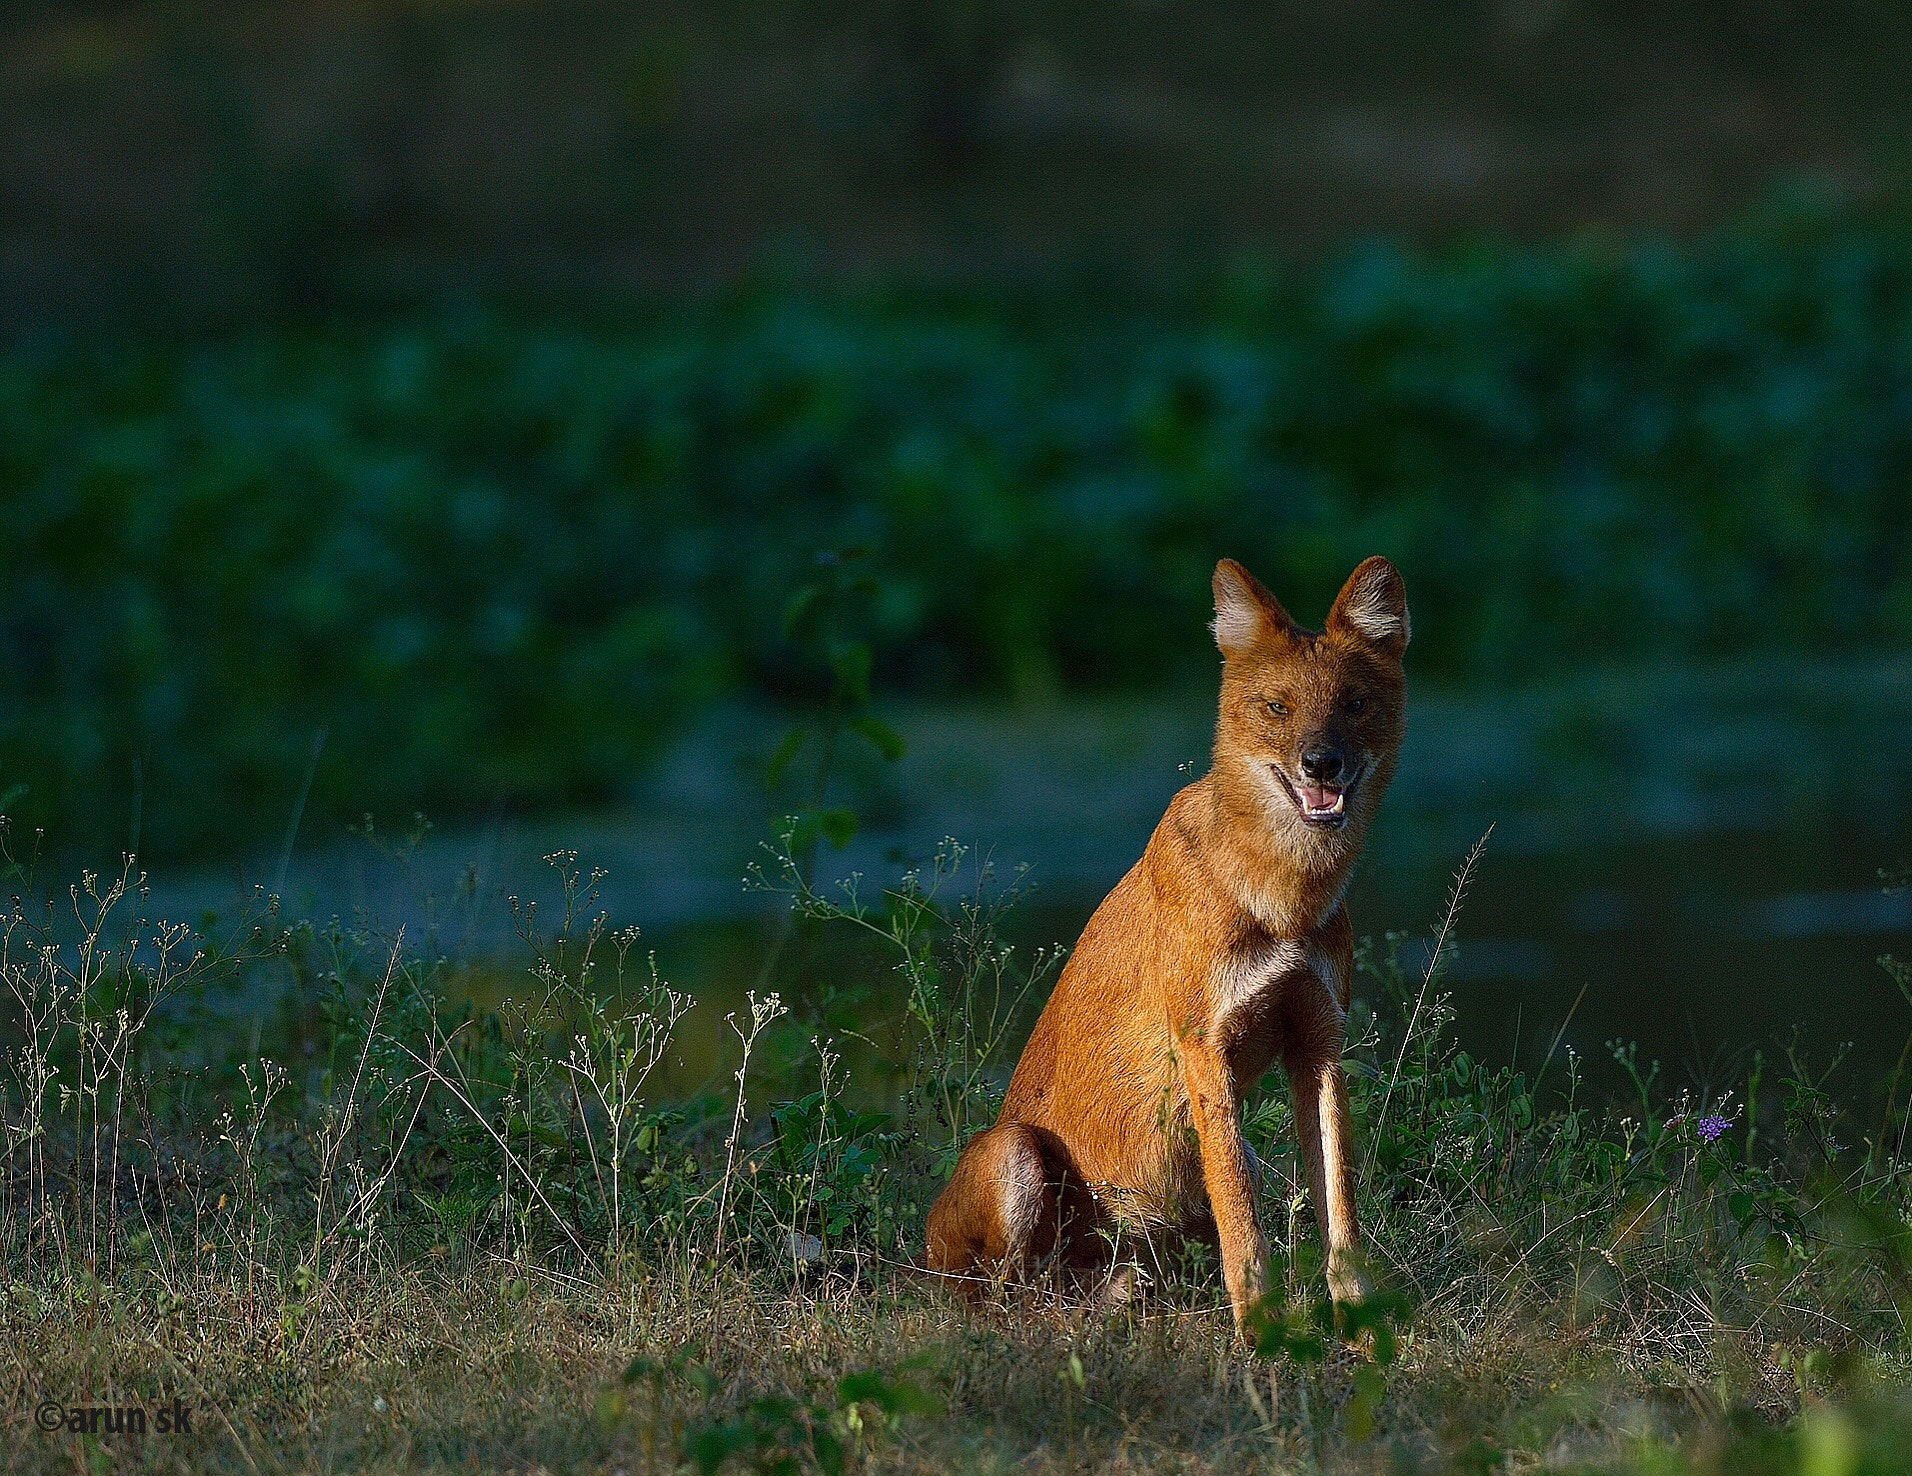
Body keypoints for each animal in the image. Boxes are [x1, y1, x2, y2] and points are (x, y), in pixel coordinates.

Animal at [917, 558, 1414, 1330]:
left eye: (1355, 704)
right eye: (1277, 708)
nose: (1321, 763)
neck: (1283, 897)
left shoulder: (1319, 1043)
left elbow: (1341, 1209)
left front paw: (1359, 1336)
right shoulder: (1205, 1046)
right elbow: (1244, 1226)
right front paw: (1263, 1341)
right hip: (1013, 1154)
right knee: (1005, 1300)